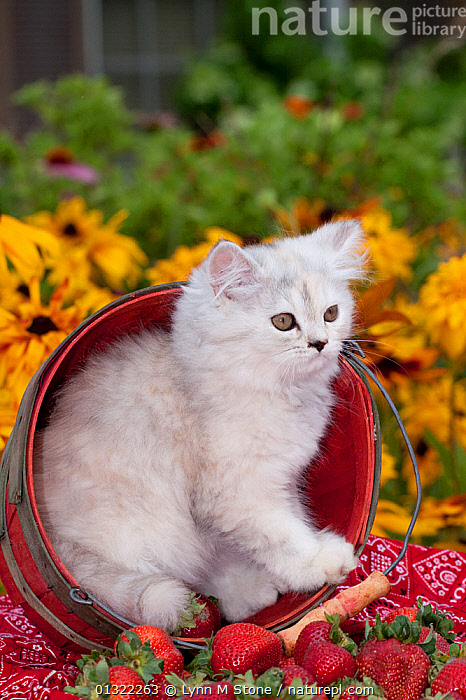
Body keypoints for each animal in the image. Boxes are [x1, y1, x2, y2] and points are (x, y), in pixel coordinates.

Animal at [34, 221, 366, 632]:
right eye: (283, 321)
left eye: (331, 313)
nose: (321, 343)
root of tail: (56, 538)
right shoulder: (235, 494)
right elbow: (280, 535)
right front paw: (318, 562)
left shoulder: (279, 479)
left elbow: (276, 531)